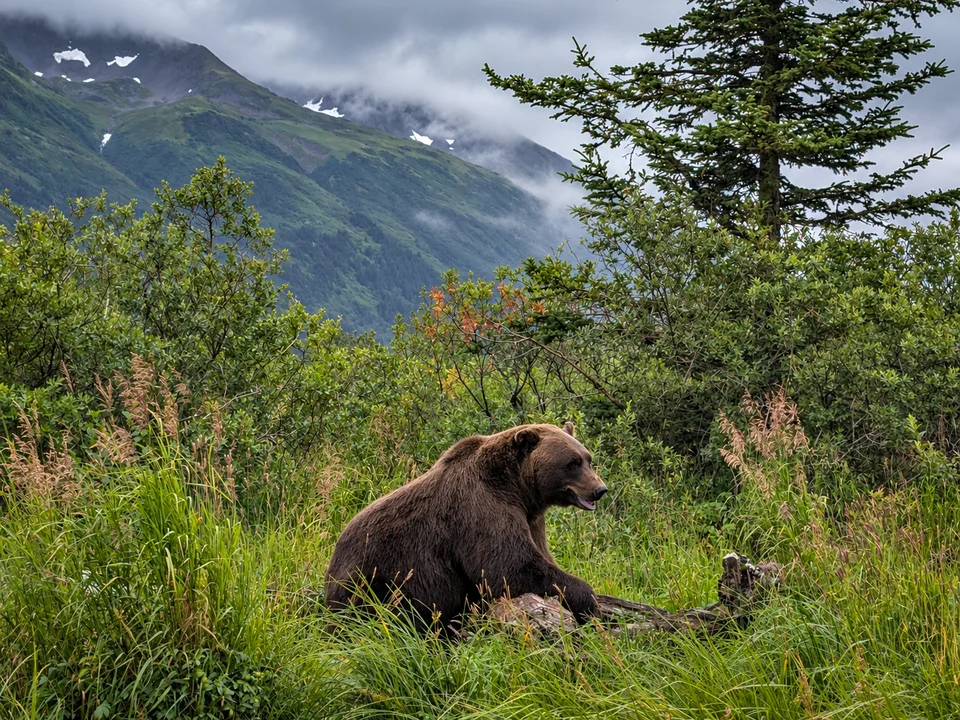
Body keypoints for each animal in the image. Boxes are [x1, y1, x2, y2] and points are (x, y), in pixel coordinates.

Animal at [324, 422, 608, 632]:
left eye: (588, 458)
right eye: (572, 462)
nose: (600, 489)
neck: (517, 488)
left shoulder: (531, 518)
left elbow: (536, 557)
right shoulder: (481, 508)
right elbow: (509, 567)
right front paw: (588, 598)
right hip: (376, 577)